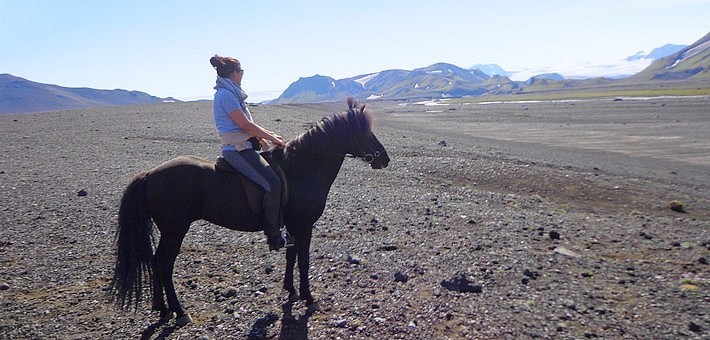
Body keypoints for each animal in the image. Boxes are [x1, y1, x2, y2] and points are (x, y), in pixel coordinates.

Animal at [108, 97, 392, 326]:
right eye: (365, 132)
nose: (384, 158)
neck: (301, 169)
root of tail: (149, 174)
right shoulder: (304, 226)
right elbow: (303, 260)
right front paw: (309, 298)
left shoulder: (292, 226)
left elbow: (291, 257)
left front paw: (291, 291)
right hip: (175, 231)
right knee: (164, 264)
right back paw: (179, 312)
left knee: (156, 262)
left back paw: (162, 309)